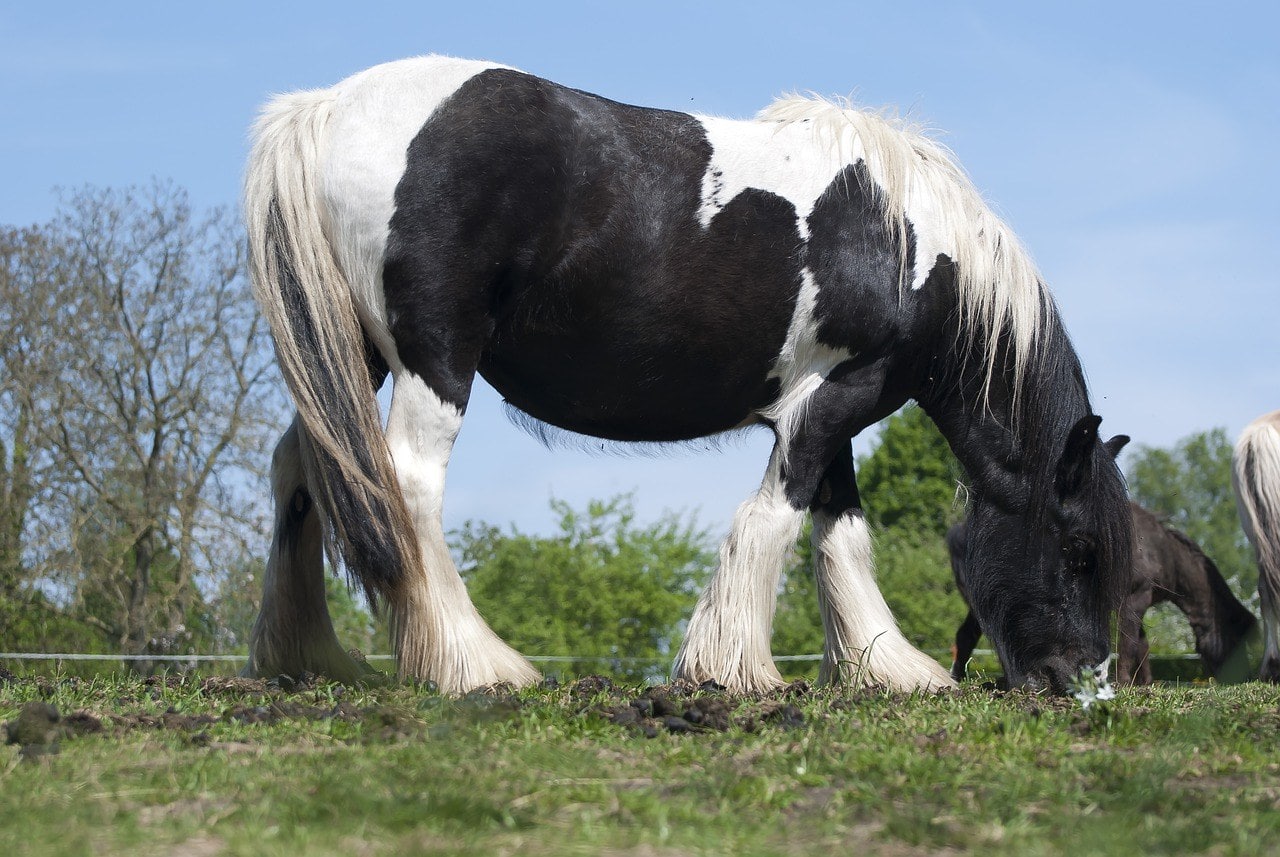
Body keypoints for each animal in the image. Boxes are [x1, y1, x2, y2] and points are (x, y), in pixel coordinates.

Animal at [240, 53, 1131, 695]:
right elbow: (775, 519)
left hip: (352, 354)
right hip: (433, 360)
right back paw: (474, 664)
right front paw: (733, 669)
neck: (910, 244)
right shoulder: (833, 398)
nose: (1077, 682)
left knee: (302, 467)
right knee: (405, 482)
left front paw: (884, 667)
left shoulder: (836, 408)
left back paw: (304, 657)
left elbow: (840, 531)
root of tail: (325, 108)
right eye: (1081, 548)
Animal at [952, 501, 1259, 690]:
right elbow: (1128, 643)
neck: (1160, 550)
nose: (1243, 678)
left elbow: (1141, 644)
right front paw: (1124, 682)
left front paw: (1144, 683)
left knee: (966, 636)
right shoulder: (1134, 599)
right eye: (1238, 639)